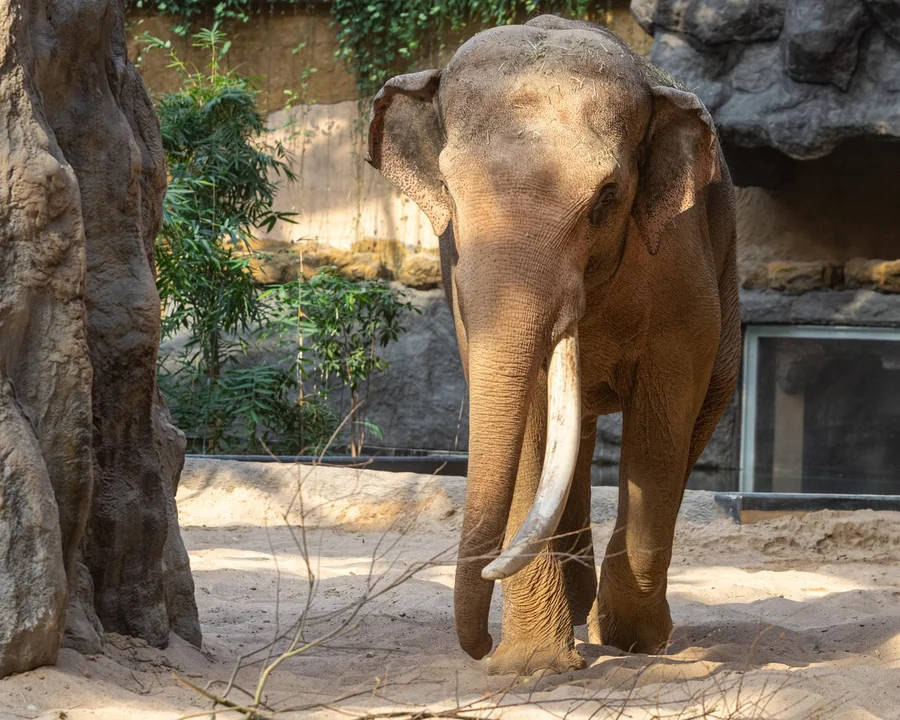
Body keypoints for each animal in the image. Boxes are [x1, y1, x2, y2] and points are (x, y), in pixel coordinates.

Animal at [366, 14, 740, 676]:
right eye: (451, 191)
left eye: (607, 196)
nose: (477, 647)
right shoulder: (459, 268)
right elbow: (529, 420)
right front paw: (530, 664)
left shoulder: (681, 264)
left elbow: (665, 411)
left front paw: (632, 639)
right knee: (578, 439)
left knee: (697, 415)